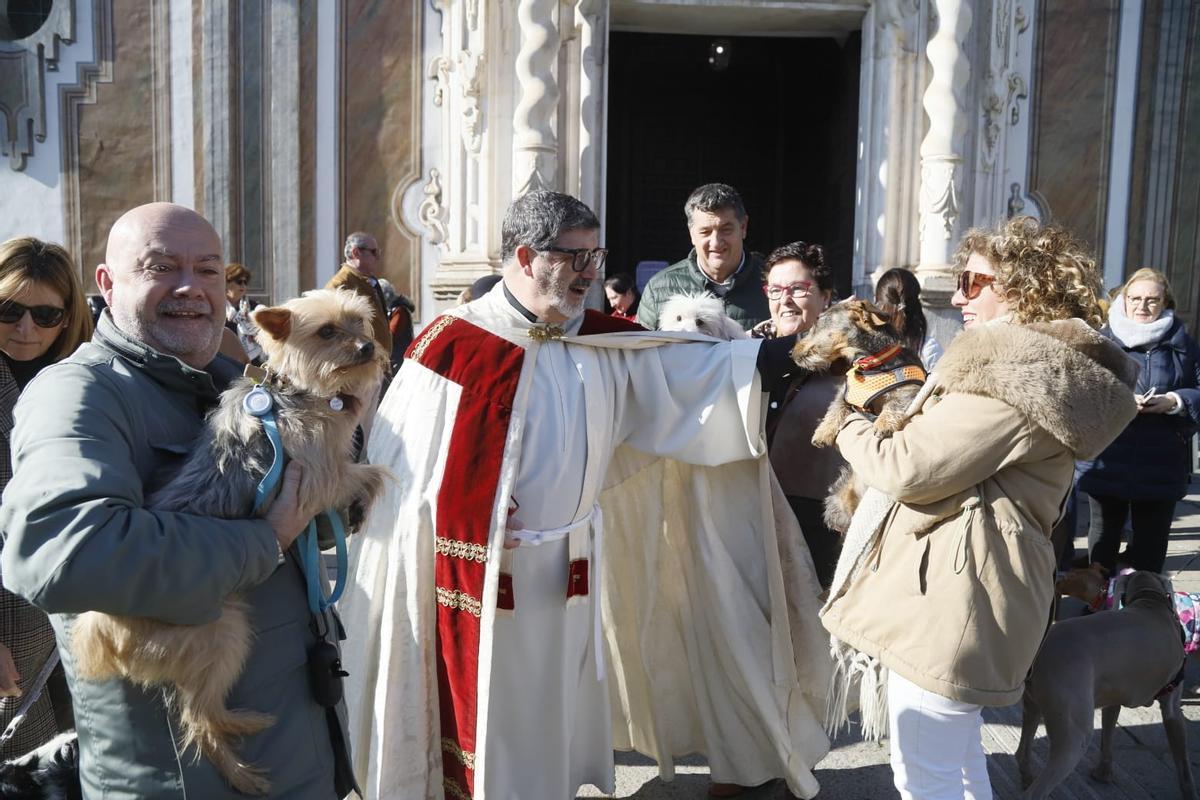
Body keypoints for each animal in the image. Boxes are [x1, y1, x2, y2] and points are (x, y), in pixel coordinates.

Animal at [1017, 573, 1195, 796]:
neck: (1150, 602)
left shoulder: (1114, 697)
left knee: (1021, 752)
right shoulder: (1172, 708)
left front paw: (1103, 772)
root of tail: (1039, 650)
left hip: (1032, 705)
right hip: (1074, 735)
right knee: (1036, 790)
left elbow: (1107, 737)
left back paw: (1026, 777)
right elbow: (1183, 765)